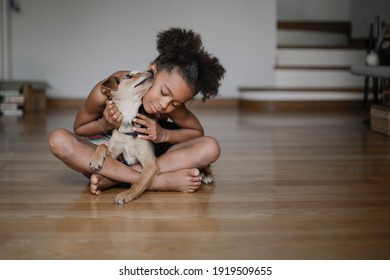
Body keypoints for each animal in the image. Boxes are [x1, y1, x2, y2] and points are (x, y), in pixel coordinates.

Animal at [90, 69, 158, 205]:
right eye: (128, 76)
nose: (151, 70)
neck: (127, 121)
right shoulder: (115, 155)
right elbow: (102, 146)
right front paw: (96, 160)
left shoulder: (150, 164)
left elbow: (139, 182)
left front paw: (126, 194)